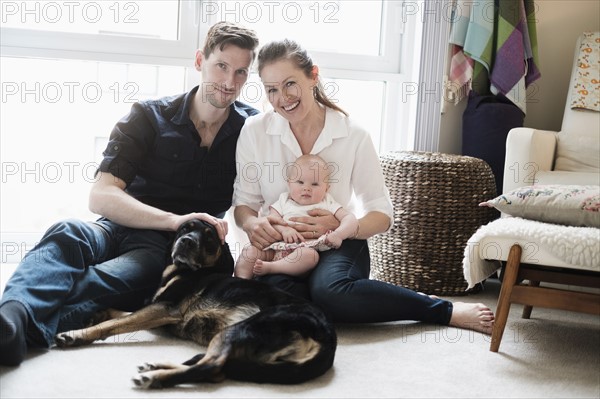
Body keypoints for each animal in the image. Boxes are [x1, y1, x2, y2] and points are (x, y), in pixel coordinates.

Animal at [55, 219, 338, 390]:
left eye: (210, 237)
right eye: (184, 229)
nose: (187, 241)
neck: (185, 270)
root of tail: (328, 335)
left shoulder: (165, 309)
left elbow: (117, 322)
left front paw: (77, 334)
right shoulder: (157, 309)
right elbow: (123, 314)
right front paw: (97, 313)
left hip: (242, 328)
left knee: (211, 366)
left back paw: (154, 377)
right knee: (214, 368)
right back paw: (157, 366)